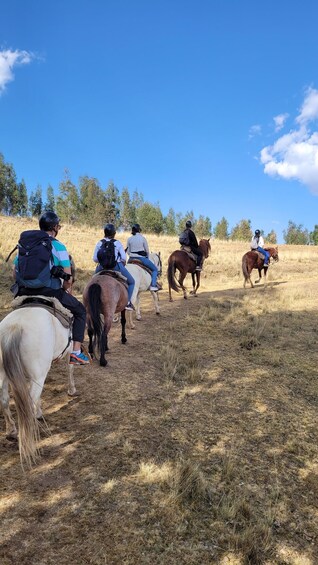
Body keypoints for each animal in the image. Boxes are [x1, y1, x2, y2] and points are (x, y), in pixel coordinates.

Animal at [0, 300, 76, 468]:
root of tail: (14, 327)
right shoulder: (69, 350)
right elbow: (70, 367)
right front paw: (72, 390)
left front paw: (39, 412)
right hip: (38, 373)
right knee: (28, 402)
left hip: (5, 374)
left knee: (5, 399)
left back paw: (11, 431)